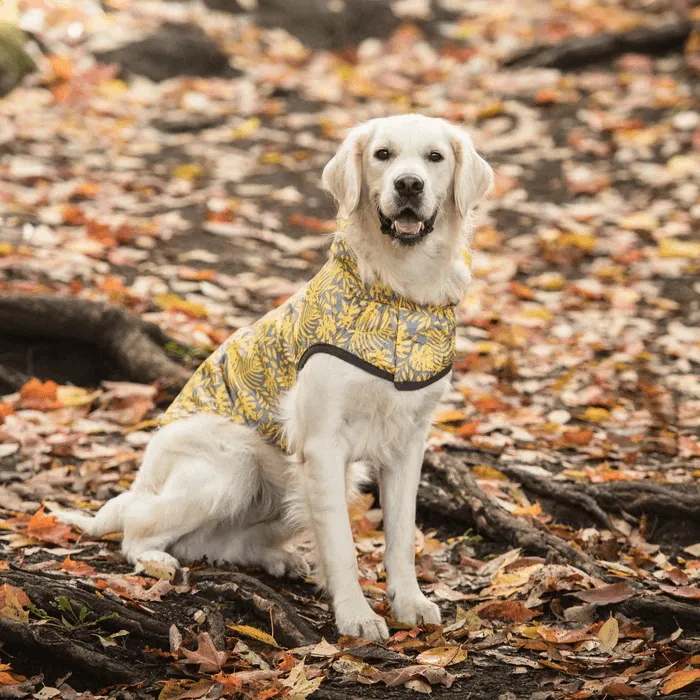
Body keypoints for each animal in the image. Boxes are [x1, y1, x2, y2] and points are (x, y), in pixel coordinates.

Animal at [58, 113, 492, 640]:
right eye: (383, 155)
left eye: (435, 157)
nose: (408, 185)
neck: (398, 296)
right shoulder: (322, 445)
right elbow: (341, 544)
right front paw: (356, 615)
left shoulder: (407, 444)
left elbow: (401, 534)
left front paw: (409, 602)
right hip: (233, 464)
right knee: (138, 528)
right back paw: (157, 561)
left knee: (208, 543)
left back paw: (277, 559)